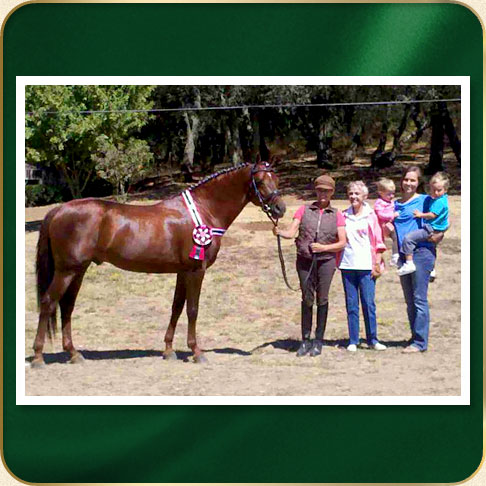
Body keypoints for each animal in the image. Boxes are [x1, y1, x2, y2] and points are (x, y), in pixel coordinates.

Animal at [32, 160, 286, 368]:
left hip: (78, 271)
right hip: (66, 271)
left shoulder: (183, 271)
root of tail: (59, 209)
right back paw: (38, 357)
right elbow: (193, 310)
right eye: (260, 181)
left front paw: (169, 350)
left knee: (67, 307)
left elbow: (176, 307)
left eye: (276, 179)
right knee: (48, 302)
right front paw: (196, 352)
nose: (280, 209)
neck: (204, 210)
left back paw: (74, 354)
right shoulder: (196, 271)